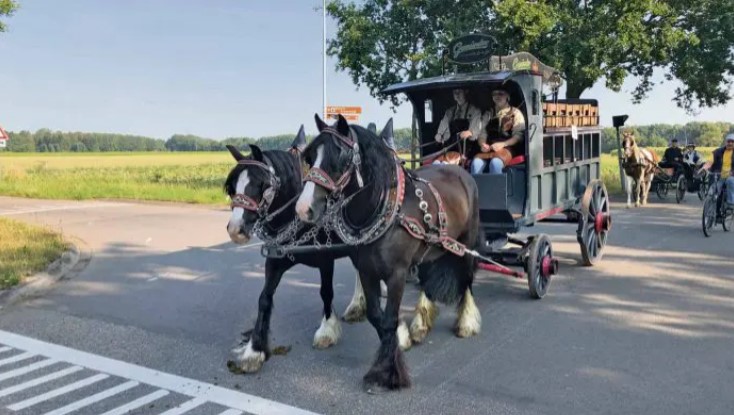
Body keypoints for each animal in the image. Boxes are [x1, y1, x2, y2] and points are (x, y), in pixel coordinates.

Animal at [224, 126, 412, 374]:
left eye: (261, 184)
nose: (235, 229)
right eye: (232, 186)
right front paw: (254, 350)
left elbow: (326, 292)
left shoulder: (325, 257)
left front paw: (327, 330)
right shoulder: (275, 260)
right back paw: (358, 305)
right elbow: (264, 298)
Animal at [296, 114, 486, 394]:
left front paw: (389, 373)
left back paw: (466, 322)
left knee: (467, 278)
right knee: (428, 279)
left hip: (466, 243)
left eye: (339, 156)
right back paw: (421, 324)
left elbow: (389, 319)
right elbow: (377, 317)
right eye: (309, 158)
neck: (385, 208)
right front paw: (393, 352)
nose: (303, 208)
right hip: (431, 248)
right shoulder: (367, 271)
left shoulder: (396, 274)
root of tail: (460, 168)